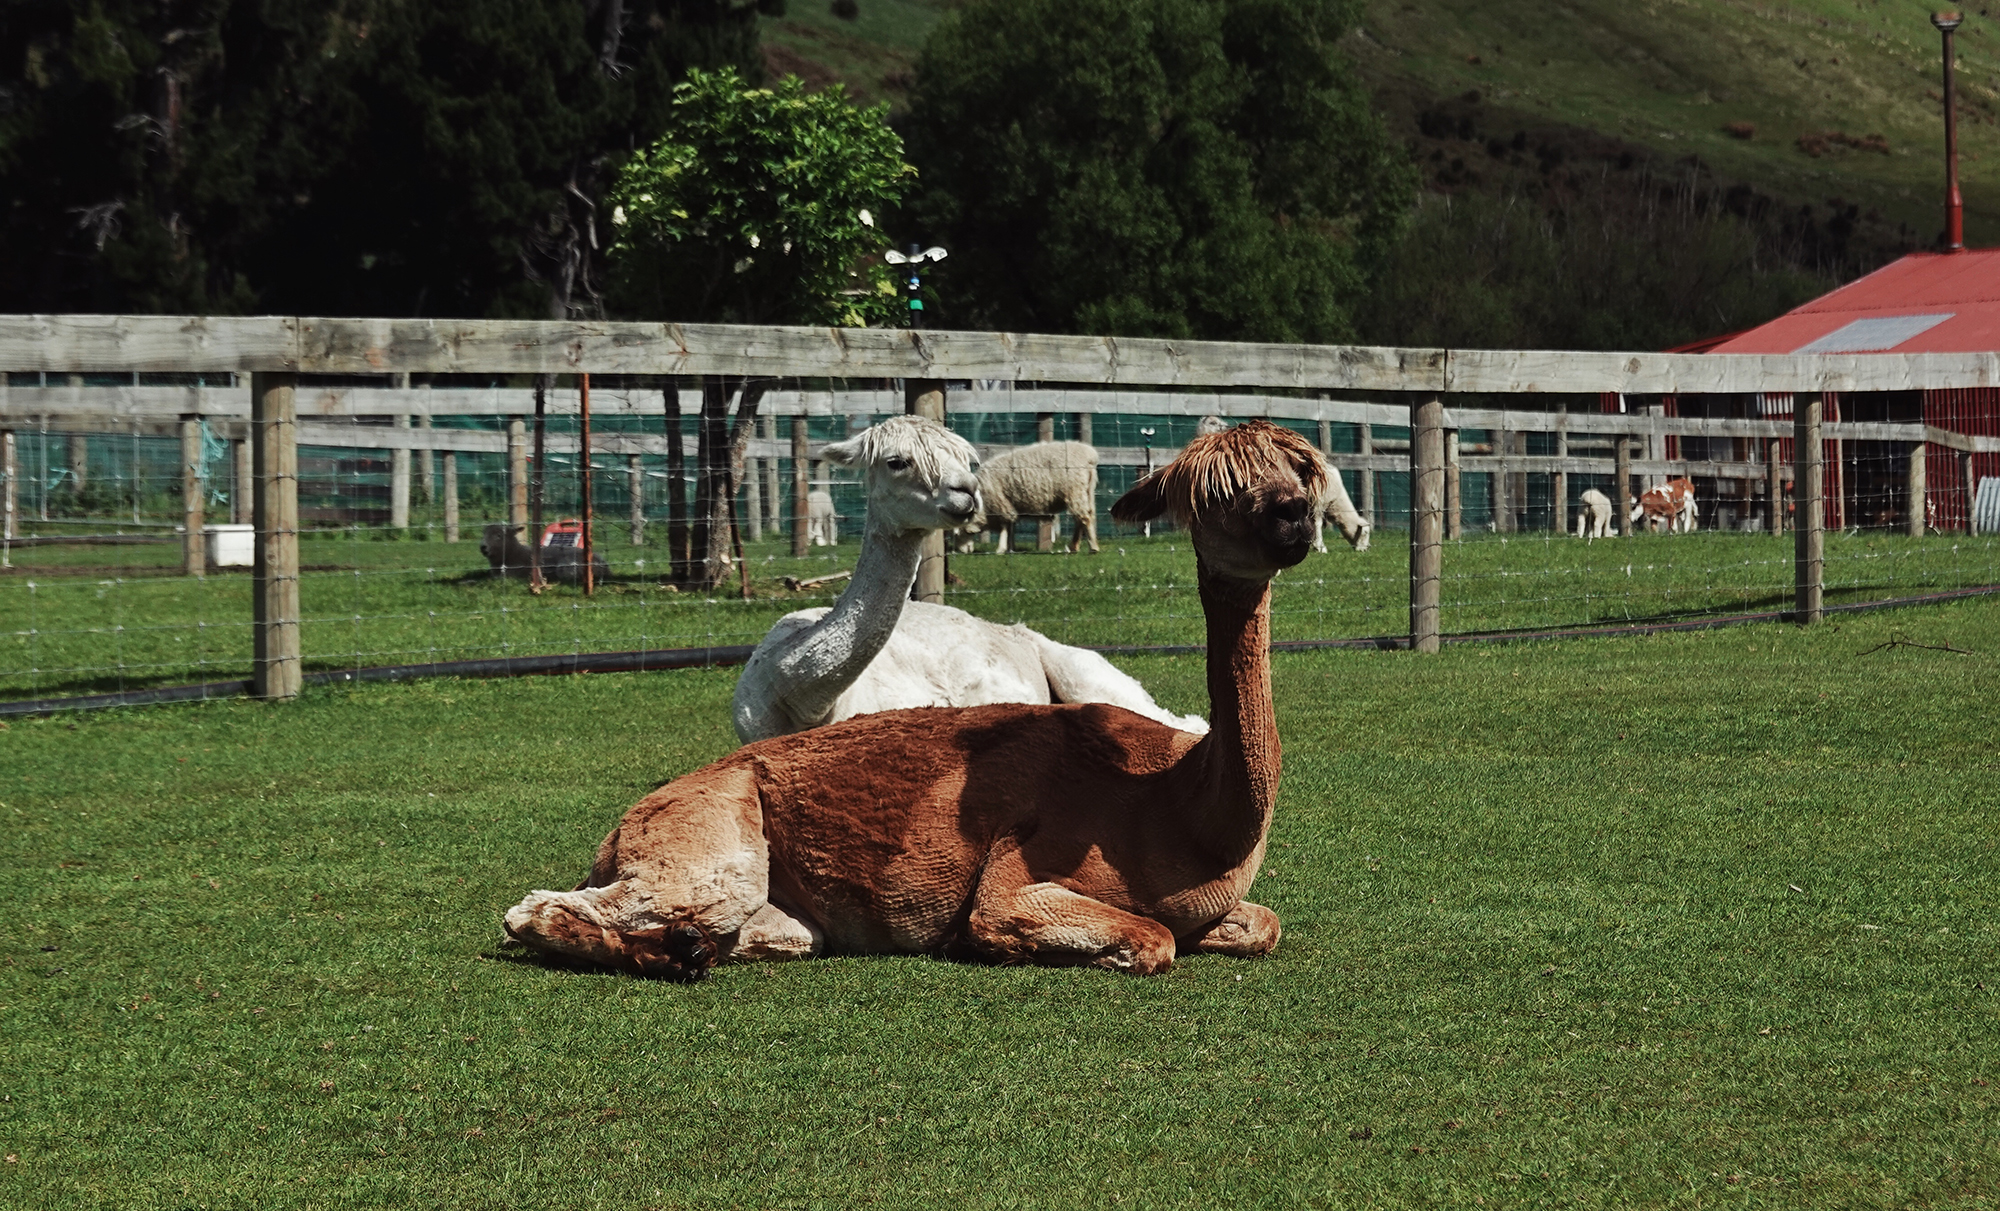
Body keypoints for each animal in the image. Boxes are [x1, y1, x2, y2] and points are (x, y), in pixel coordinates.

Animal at [960, 441, 1104, 555]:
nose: (961, 551)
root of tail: (1090, 456)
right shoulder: (1008, 504)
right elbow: (1010, 526)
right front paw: (1010, 548)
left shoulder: (1001, 503)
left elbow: (1005, 526)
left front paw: (1001, 548)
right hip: (1086, 491)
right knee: (1084, 517)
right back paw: (1074, 547)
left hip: (1074, 490)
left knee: (1084, 518)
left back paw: (1093, 548)